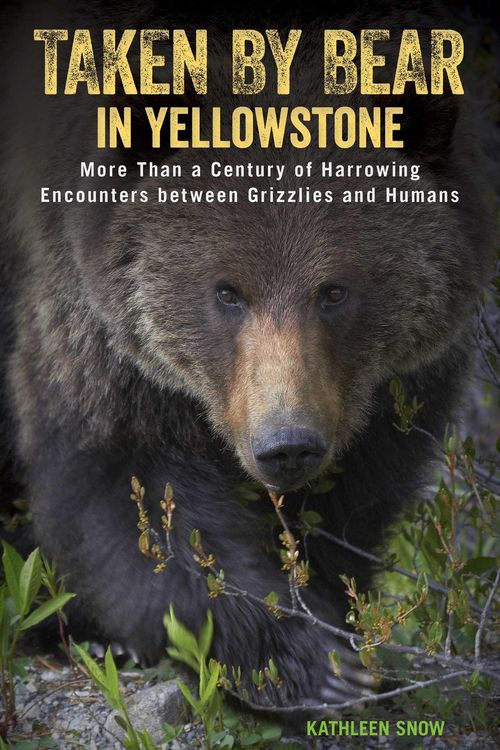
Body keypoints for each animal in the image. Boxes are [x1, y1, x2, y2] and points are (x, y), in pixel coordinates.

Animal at [0, 0, 494, 708]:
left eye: (334, 291)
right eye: (227, 292)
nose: (286, 445)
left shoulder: (389, 389)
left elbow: (357, 497)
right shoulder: (95, 326)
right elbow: (131, 492)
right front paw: (305, 662)